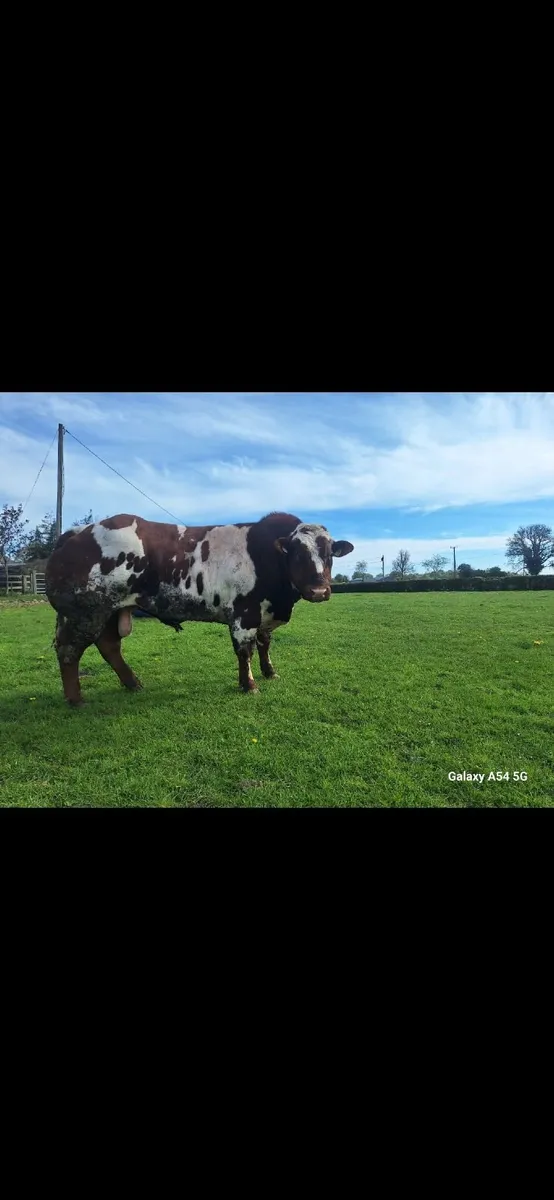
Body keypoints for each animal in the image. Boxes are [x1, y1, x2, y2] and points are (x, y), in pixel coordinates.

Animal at [45, 512, 354, 706]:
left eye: (329, 554)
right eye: (297, 553)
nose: (319, 591)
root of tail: (79, 531)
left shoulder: (264, 616)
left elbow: (265, 645)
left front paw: (269, 672)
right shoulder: (244, 615)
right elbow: (245, 651)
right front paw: (249, 685)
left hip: (109, 612)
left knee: (109, 646)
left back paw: (133, 683)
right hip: (83, 614)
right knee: (69, 652)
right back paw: (76, 699)